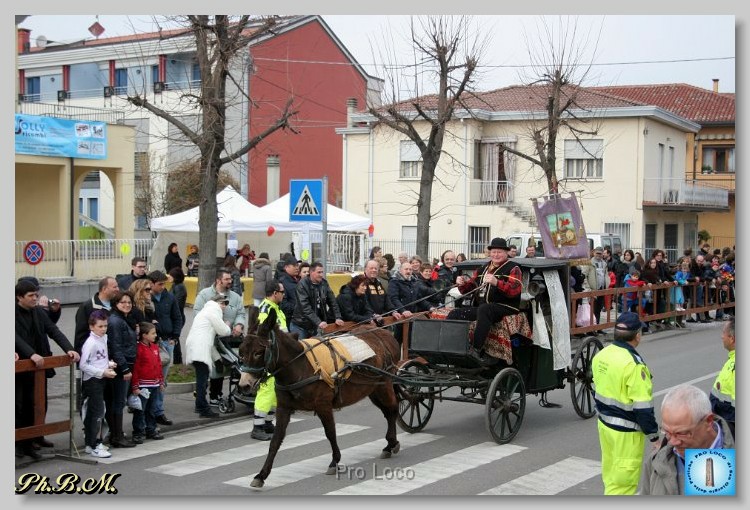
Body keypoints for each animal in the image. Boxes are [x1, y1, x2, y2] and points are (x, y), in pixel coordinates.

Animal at [238, 307, 402, 489]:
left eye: (258, 352)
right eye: (241, 352)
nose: (244, 385)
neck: (300, 365)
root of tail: (384, 334)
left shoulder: (323, 405)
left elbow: (330, 432)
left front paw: (335, 461)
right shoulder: (284, 408)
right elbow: (275, 441)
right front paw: (262, 475)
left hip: (384, 385)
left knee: (393, 409)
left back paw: (392, 443)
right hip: (373, 390)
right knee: (388, 412)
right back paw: (390, 443)